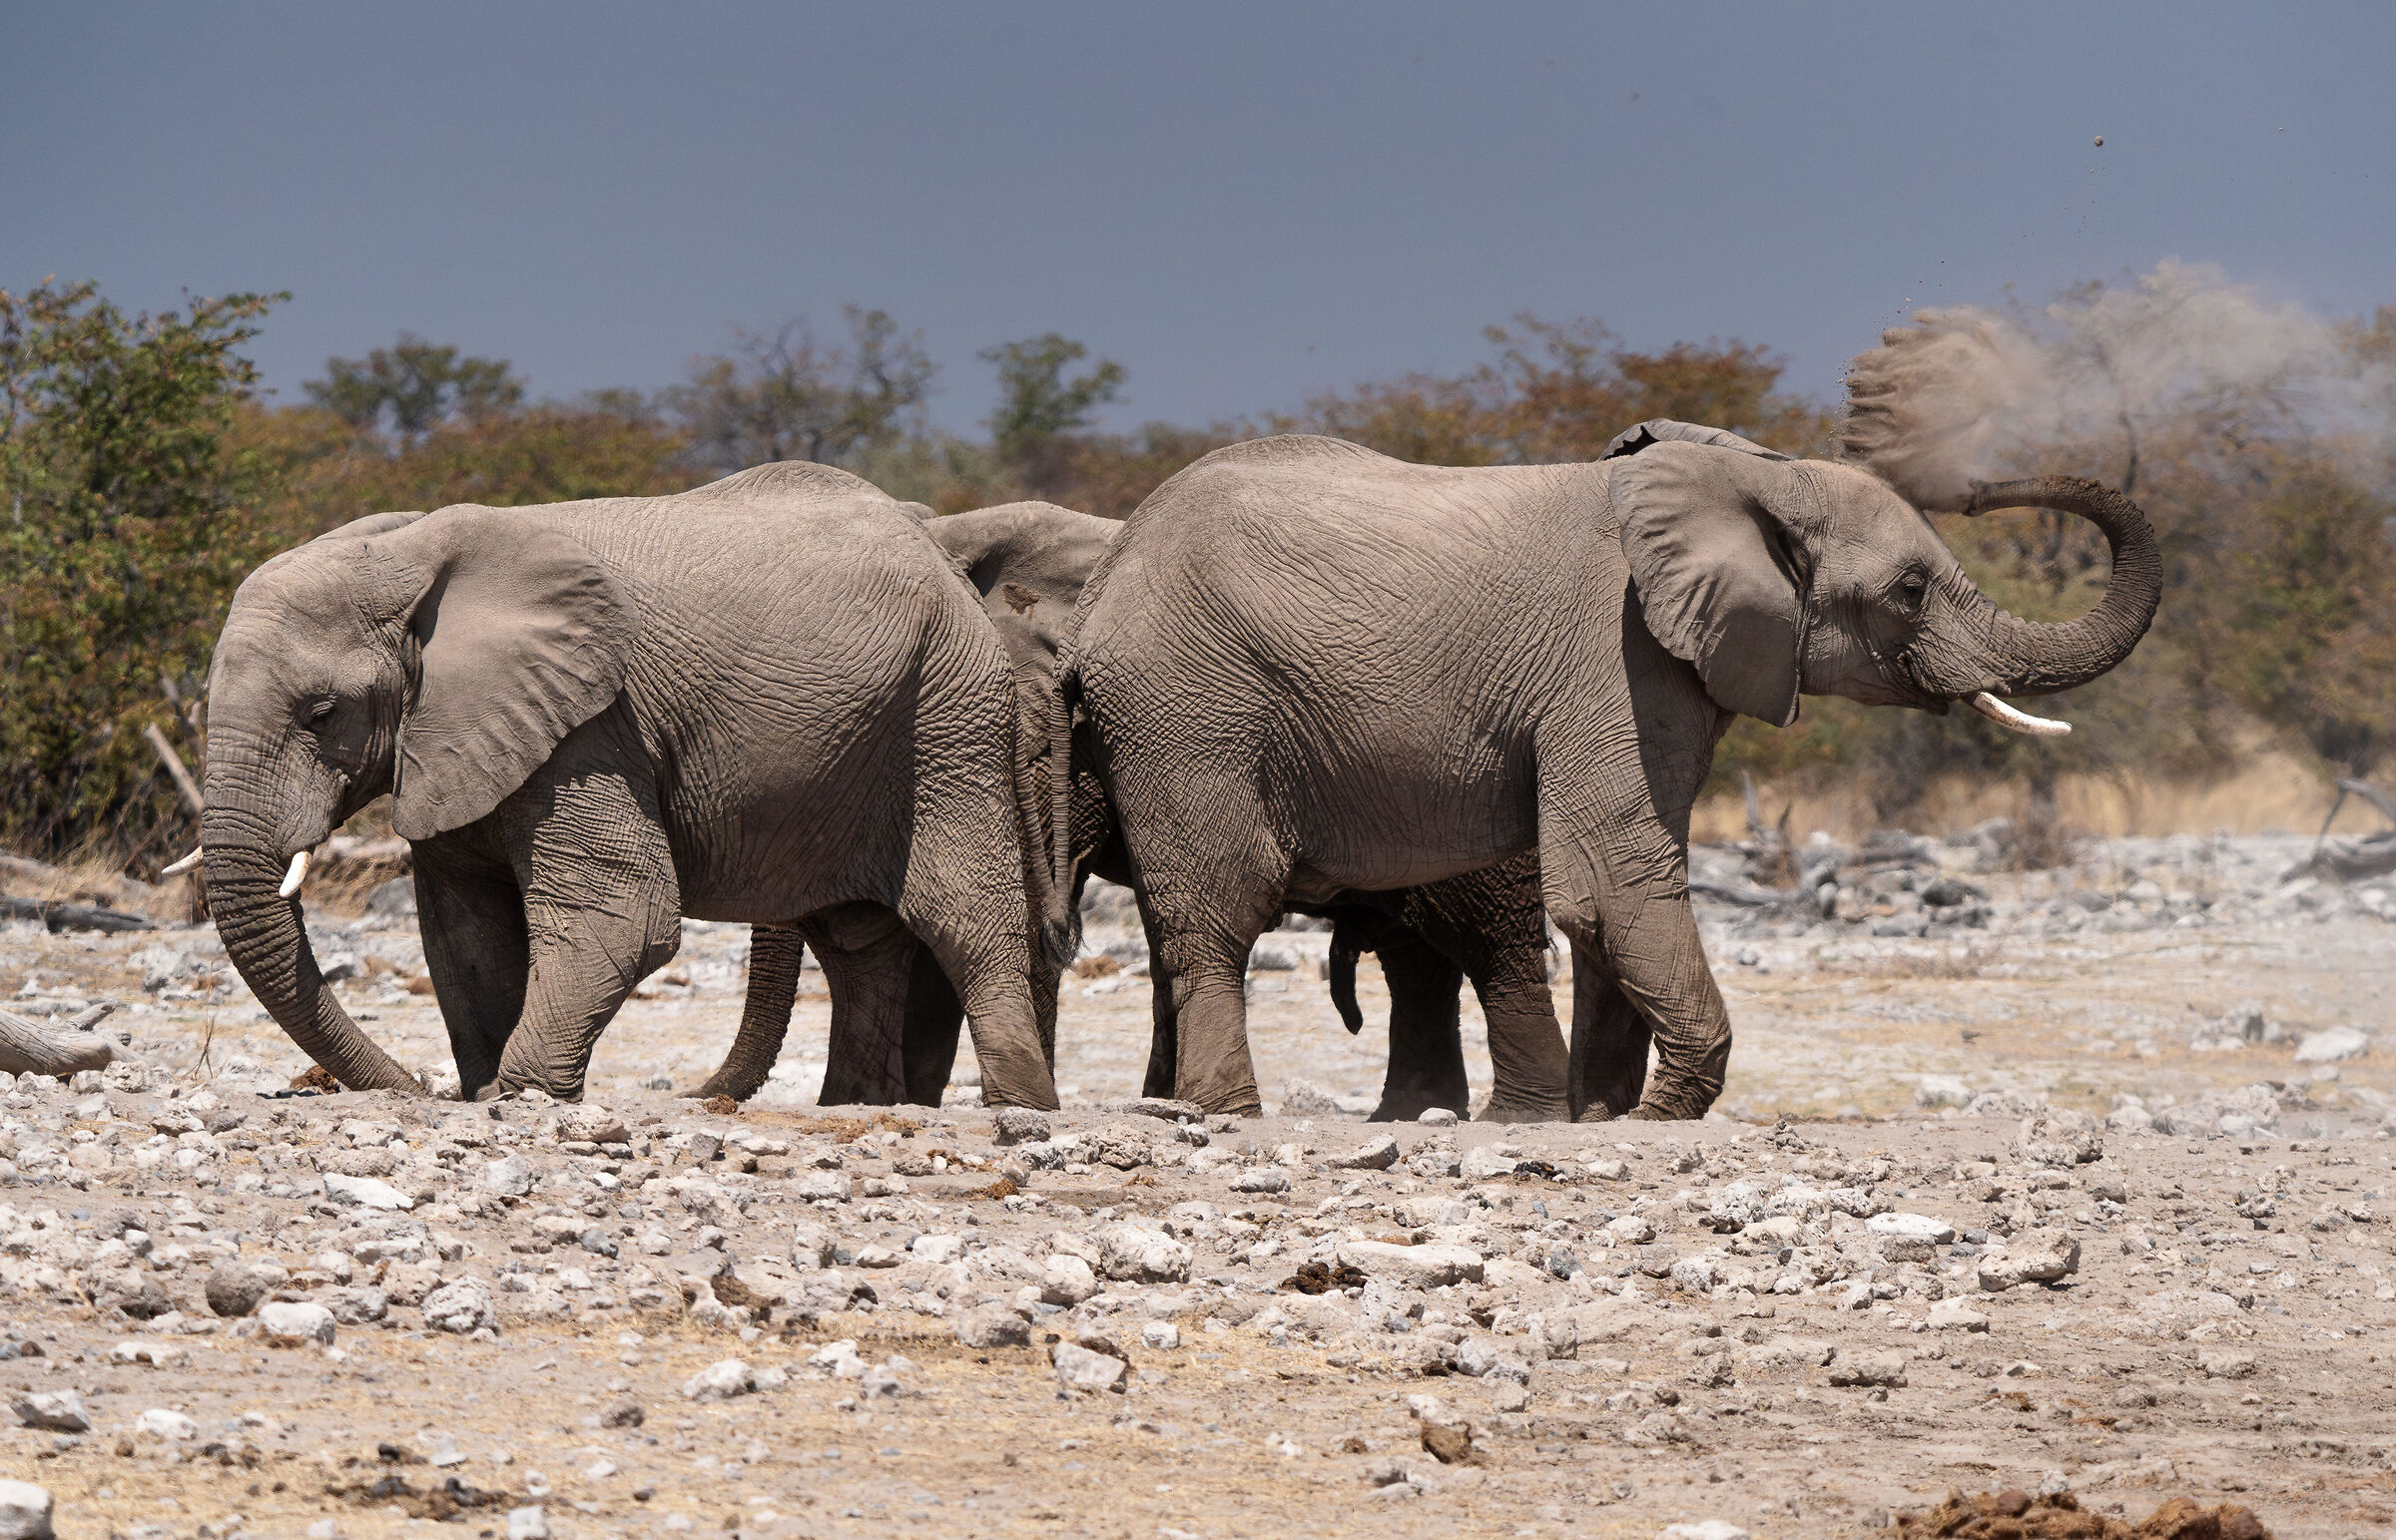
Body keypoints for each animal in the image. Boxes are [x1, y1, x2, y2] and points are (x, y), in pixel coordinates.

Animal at [188, 461, 1061, 1108]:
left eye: (320, 713)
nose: (411, 1086)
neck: (405, 549)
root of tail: (943, 558)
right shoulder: (463, 739)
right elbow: (463, 933)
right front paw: (486, 1090)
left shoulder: (593, 726)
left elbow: (623, 912)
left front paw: (520, 1094)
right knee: (856, 939)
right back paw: (856, 1106)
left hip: (948, 711)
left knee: (960, 915)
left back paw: (1021, 1108)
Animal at [1063, 419, 2161, 1118]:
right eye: (1909, 590)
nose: (1987, 483)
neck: (1754, 479)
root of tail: (1105, 575)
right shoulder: (1619, 658)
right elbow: (1615, 878)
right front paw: (1668, 1110)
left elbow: (1603, 892)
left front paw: (1599, 1112)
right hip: (1186, 707)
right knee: (1220, 906)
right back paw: (1228, 1110)